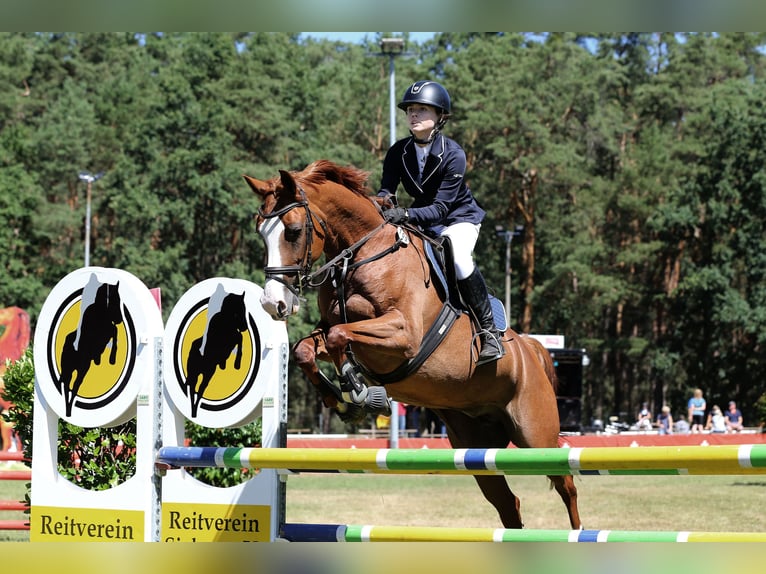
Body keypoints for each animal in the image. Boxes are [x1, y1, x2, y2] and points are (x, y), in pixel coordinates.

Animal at [57, 276, 124, 416]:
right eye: (115, 301)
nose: (120, 320)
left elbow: (114, 331)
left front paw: (107, 358)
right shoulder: (103, 334)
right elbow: (114, 331)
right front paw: (112, 358)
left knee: (69, 387)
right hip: (77, 369)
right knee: (72, 387)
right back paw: (68, 409)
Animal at [184, 288, 248, 418]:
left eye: (244, 310)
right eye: (237, 312)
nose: (245, 327)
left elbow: (239, 337)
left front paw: (233, 364)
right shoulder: (228, 341)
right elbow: (239, 337)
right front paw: (237, 364)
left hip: (207, 374)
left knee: (199, 390)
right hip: (196, 374)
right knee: (194, 391)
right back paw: (194, 411)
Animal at [244, 159, 584, 532]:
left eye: (292, 231)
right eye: (260, 232)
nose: (273, 303)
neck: (362, 256)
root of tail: (530, 352)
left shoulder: (403, 335)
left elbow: (339, 338)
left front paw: (359, 389)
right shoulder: (335, 327)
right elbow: (308, 348)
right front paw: (345, 400)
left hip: (535, 434)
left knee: (566, 483)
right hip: (475, 446)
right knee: (508, 503)